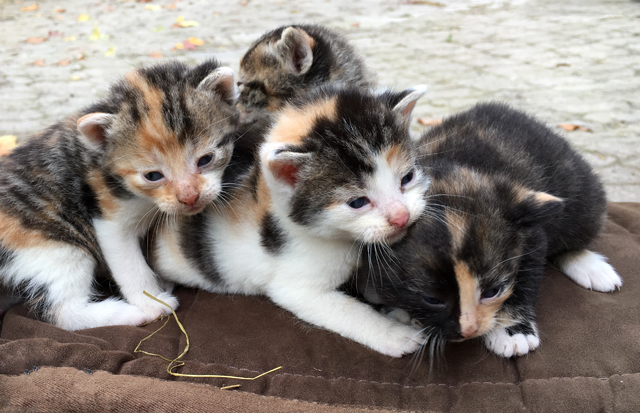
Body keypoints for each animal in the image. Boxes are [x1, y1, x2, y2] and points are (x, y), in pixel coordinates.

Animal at [0, 58, 240, 328]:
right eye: (152, 176)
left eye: (206, 159)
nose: (189, 197)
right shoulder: (109, 214)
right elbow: (129, 264)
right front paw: (152, 301)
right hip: (50, 247)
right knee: (62, 312)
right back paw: (130, 313)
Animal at [149, 85, 430, 356]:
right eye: (358, 202)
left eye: (407, 178)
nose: (401, 217)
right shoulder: (296, 285)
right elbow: (349, 311)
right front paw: (396, 334)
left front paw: (399, 310)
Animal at [356, 102, 620, 358]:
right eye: (432, 299)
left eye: (494, 291)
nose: (469, 331)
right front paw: (401, 310)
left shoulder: (531, 234)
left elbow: (526, 275)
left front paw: (512, 329)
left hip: (583, 196)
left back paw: (589, 265)